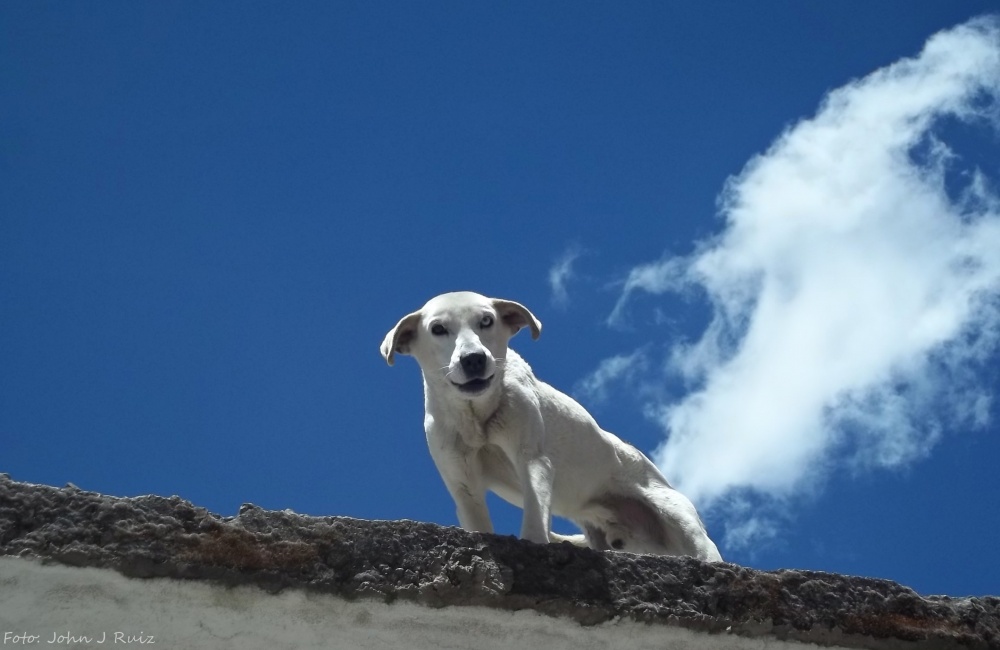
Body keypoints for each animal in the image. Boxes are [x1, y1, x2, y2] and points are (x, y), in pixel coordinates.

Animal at [380, 292, 720, 560]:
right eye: (438, 329)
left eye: (486, 321)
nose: (474, 359)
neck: (477, 415)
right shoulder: (464, 486)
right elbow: (478, 521)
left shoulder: (533, 462)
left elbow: (533, 519)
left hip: (682, 521)